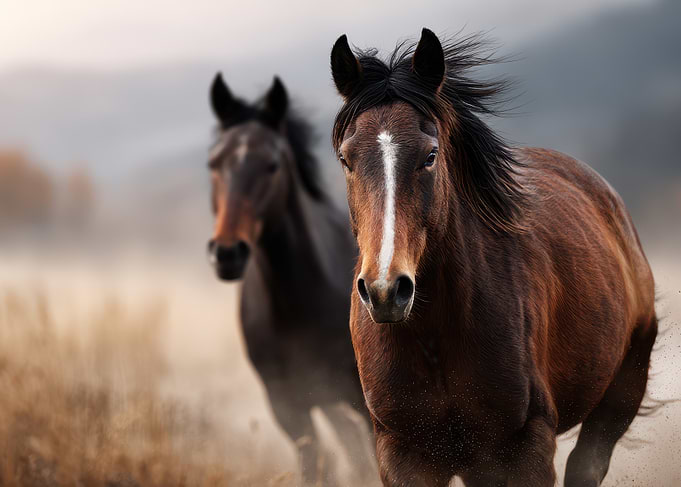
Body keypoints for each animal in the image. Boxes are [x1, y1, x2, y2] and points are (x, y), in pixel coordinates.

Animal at [329, 29, 657, 486]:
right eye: (346, 158)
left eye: (430, 155)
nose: (384, 291)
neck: (435, 338)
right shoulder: (404, 454)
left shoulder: (525, 450)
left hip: (622, 389)